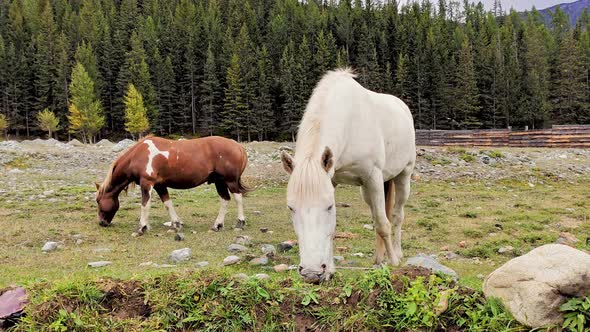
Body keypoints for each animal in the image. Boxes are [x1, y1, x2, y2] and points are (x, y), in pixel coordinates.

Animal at [94, 136, 250, 236]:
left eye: (98, 201)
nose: (101, 222)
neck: (138, 155)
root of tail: (238, 146)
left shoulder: (147, 183)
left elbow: (145, 205)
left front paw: (141, 228)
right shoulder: (160, 185)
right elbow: (168, 203)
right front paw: (177, 224)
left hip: (230, 181)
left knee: (238, 198)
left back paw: (240, 223)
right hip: (219, 182)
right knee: (225, 200)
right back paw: (217, 225)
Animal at [282, 67, 416, 282]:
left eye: (329, 206)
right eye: (291, 208)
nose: (311, 273)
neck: (350, 123)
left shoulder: (373, 177)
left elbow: (383, 224)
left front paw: (394, 262)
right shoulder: (333, 179)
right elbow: (334, 229)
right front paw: (329, 271)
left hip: (403, 174)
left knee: (396, 216)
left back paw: (396, 253)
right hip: (367, 190)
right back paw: (378, 259)